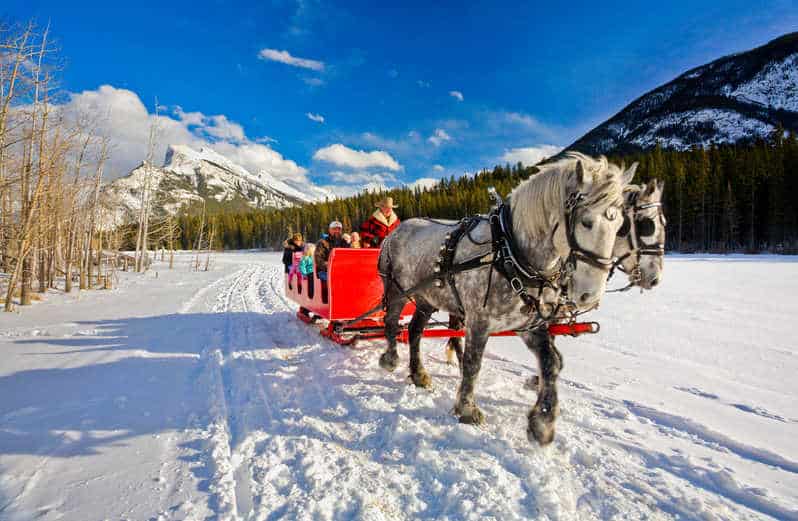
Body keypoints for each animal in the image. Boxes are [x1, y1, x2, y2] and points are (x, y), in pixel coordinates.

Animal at [378, 150, 636, 442]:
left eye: (621, 226)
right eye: (586, 222)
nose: (589, 294)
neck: (510, 250)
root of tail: (395, 231)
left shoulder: (529, 324)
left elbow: (551, 363)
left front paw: (542, 421)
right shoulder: (479, 321)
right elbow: (473, 363)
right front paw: (467, 410)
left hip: (426, 299)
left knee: (414, 331)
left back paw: (419, 374)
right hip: (396, 290)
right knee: (391, 322)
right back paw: (390, 359)